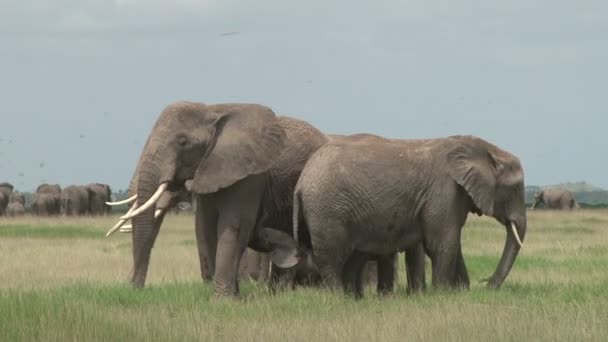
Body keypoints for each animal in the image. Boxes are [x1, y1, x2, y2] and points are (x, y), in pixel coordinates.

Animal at [106, 100, 330, 296]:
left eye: (182, 142)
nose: (134, 288)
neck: (212, 111)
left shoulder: (249, 174)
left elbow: (233, 225)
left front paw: (224, 298)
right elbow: (204, 226)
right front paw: (224, 291)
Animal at [290, 135, 528, 298]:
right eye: (516, 189)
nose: (485, 286)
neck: (485, 149)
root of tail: (301, 182)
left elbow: (452, 243)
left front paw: (461, 293)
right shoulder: (444, 191)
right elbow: (442, 244)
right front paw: (442, 295)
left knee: (350, 258)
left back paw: (351, 298)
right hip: (327, 211)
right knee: (332, 258)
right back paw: (338, 298)